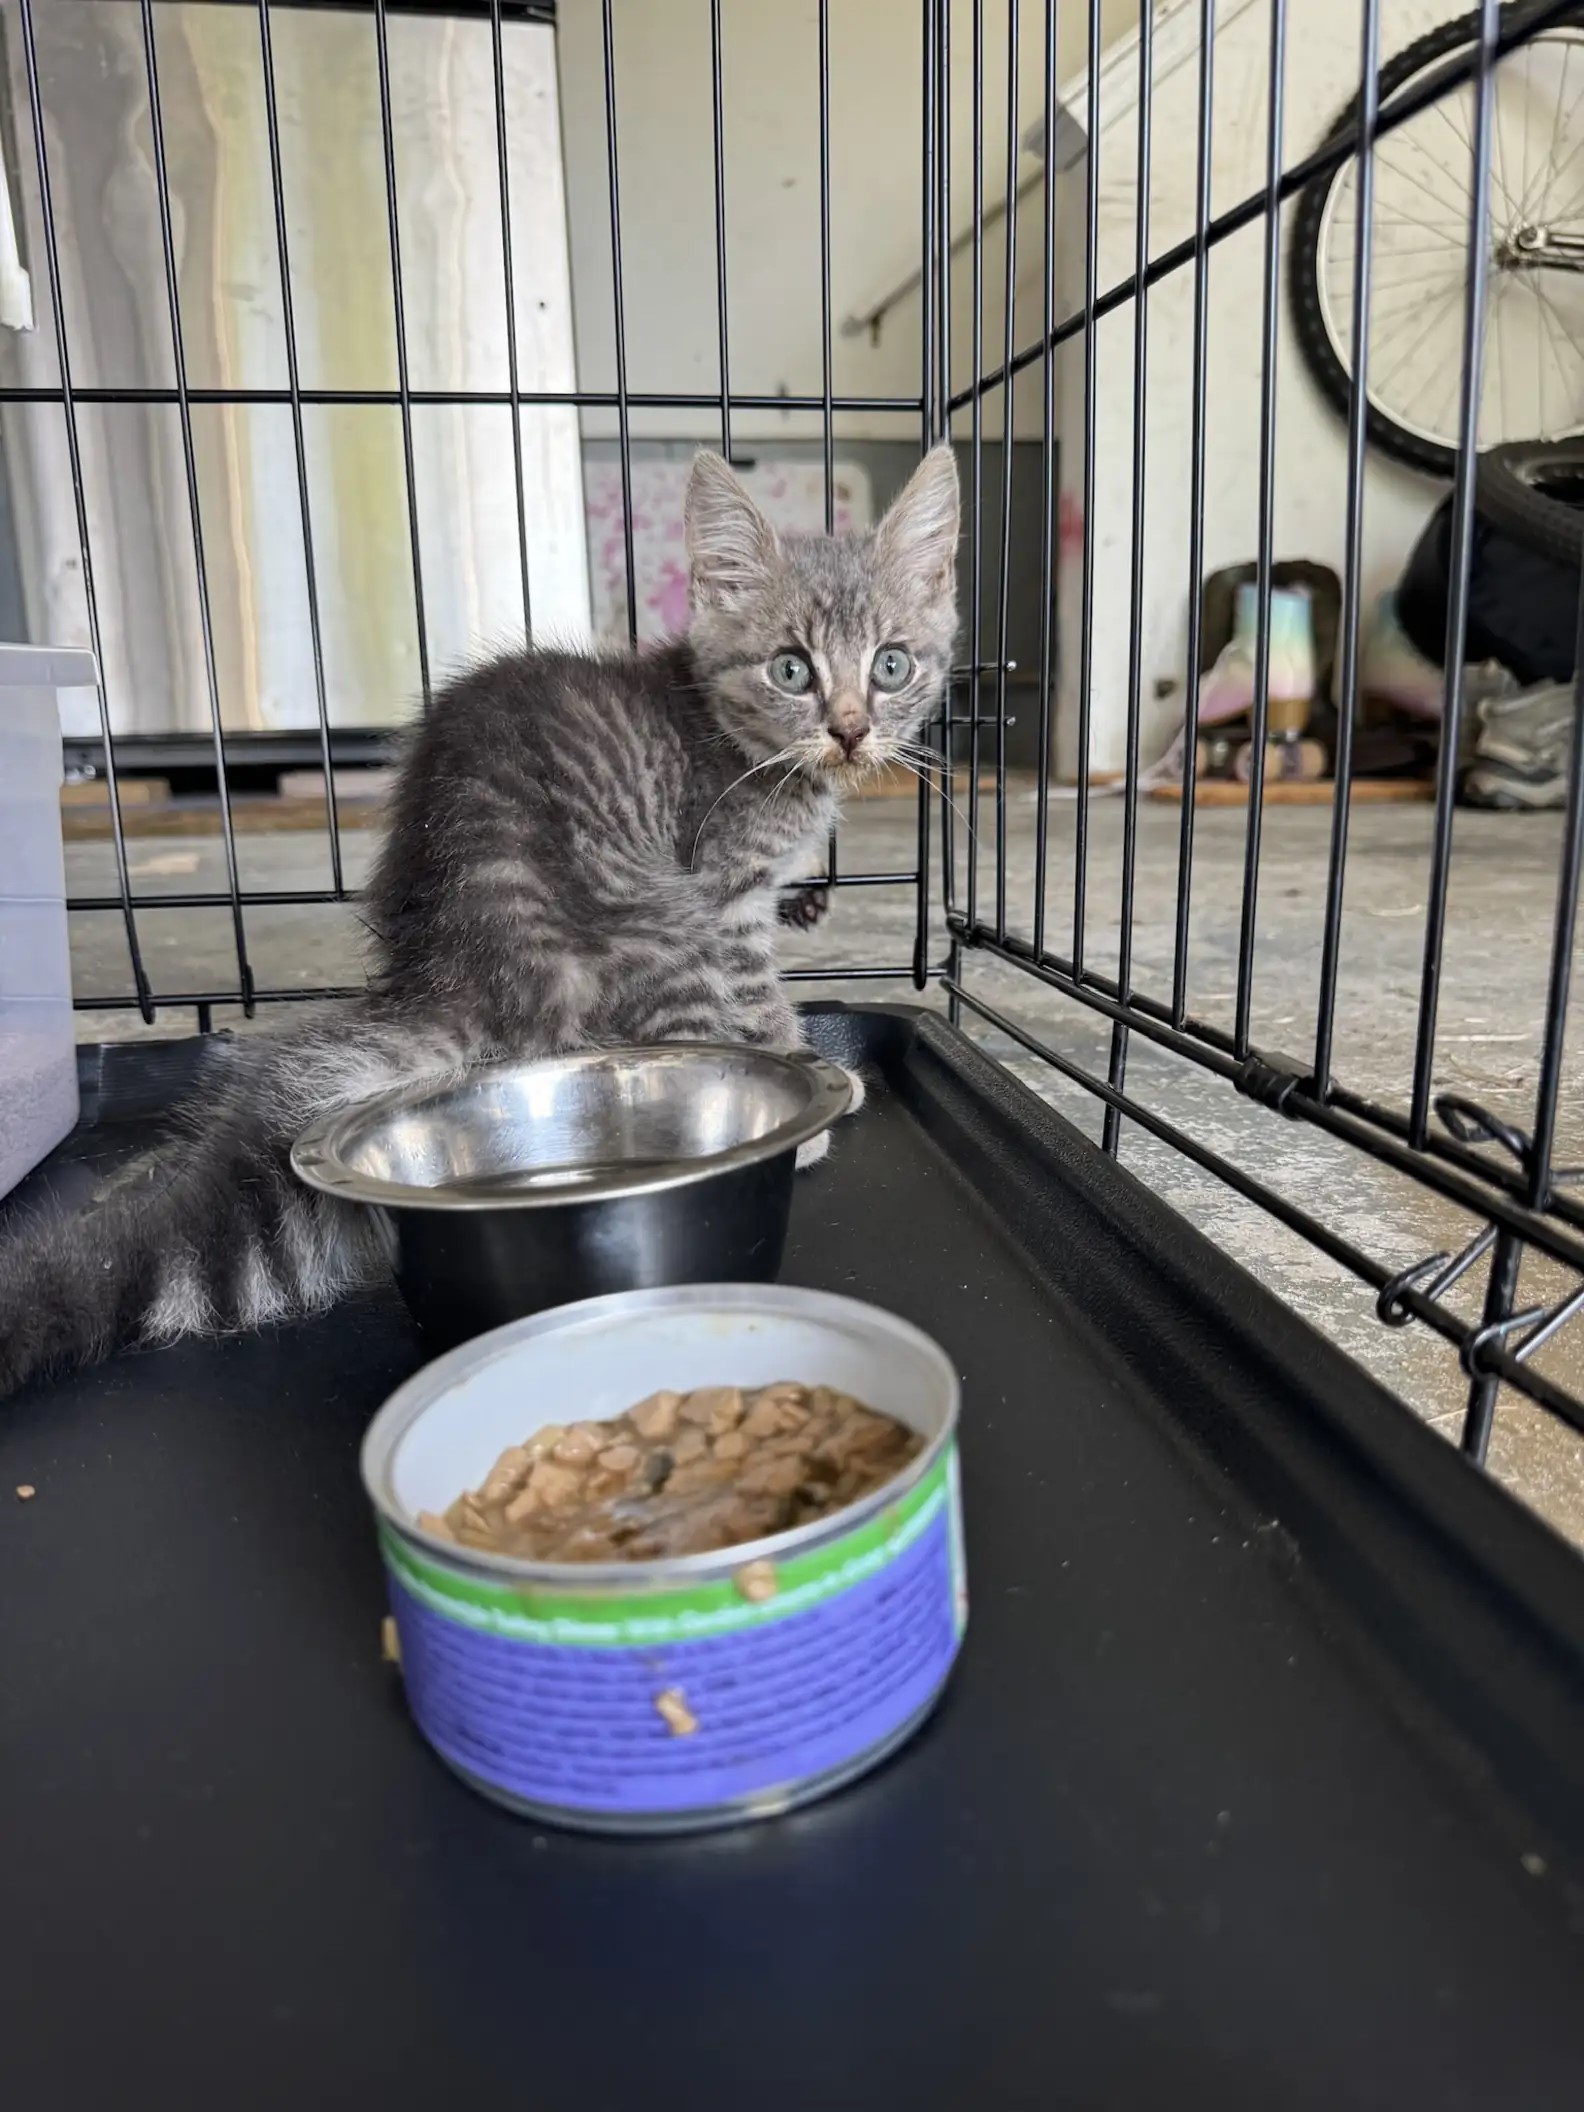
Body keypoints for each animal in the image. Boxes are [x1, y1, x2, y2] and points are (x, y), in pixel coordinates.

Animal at [0, 441, 963, 1402]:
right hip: (658, 922)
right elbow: (759, 1003)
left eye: (891, 665)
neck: (731, 737)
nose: (850, 732)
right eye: (791, 669)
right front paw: (809, 1074)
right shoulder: (725, 896)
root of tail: (459, 968)